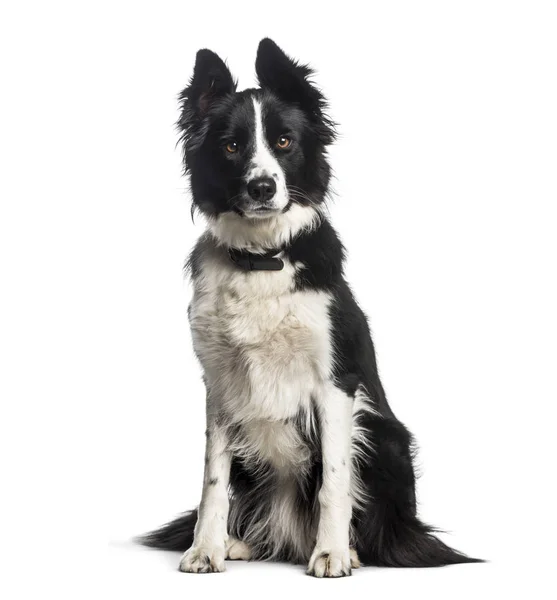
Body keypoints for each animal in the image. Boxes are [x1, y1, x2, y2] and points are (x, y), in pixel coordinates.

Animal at [138, 37, 478, 576]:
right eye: (231, 146)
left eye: (283, 142)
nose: (262, 188)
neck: (261, 259)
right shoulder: (220, 386)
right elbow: (214, 481)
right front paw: (206, 549)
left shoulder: (335, 383)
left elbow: (333, 481)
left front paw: (333, 553)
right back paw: (243, 543)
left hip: (383, 435)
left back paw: (352, 548)